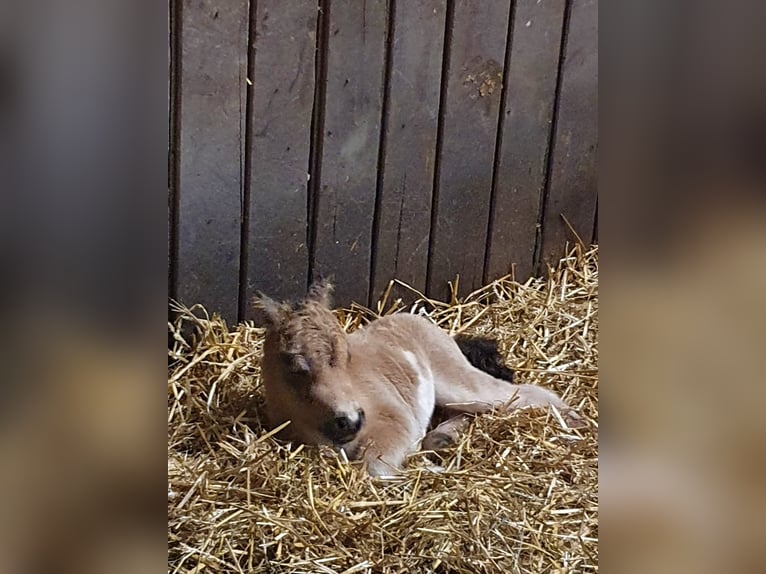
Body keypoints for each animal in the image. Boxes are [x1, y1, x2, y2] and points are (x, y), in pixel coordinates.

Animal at [258, 282, 584, 476]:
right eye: (296, 366)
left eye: (347, 355)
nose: (350, 420)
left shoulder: (394, 418)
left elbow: (374, 469)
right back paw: (442, 438)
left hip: (457, 380)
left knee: (521, 393)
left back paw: (573, 418)